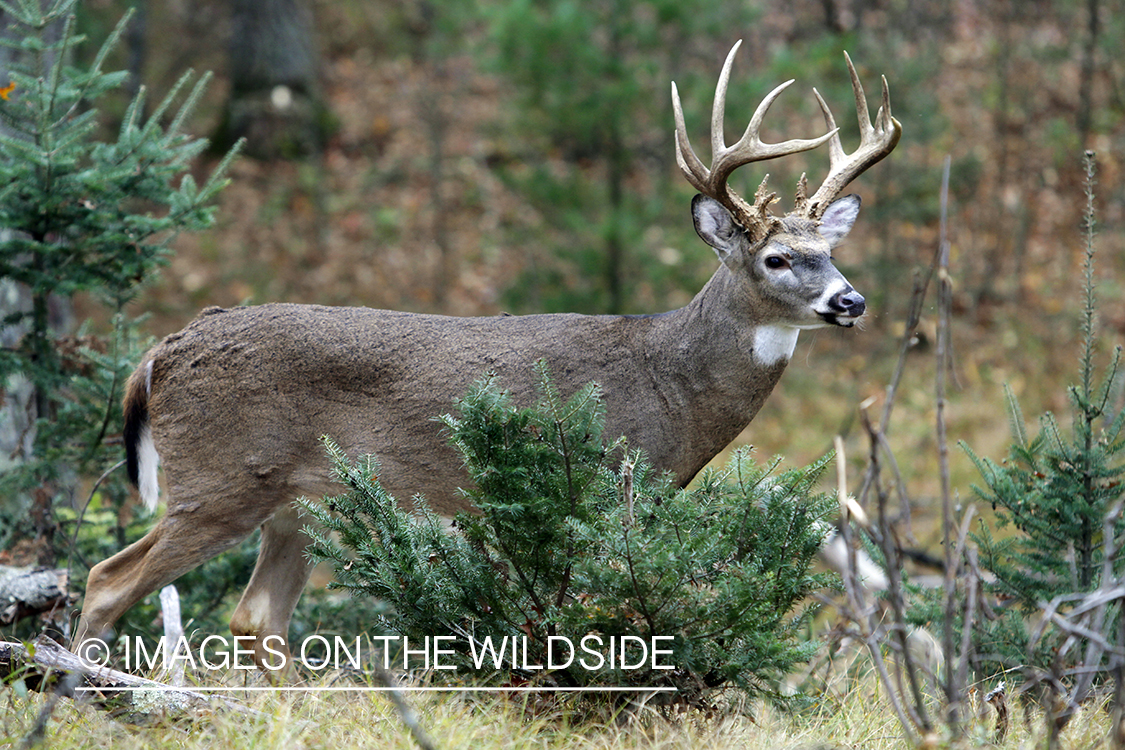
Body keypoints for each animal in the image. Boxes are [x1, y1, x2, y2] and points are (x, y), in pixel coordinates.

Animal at [72, 42, 895, 670]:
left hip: (299, 506)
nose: (851, 301)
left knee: (254, 618)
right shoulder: (594, 490)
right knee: (108, 579)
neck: (671, 387)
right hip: (221, 479)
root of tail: (162, 351)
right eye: (778, 260)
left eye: (829, 251)